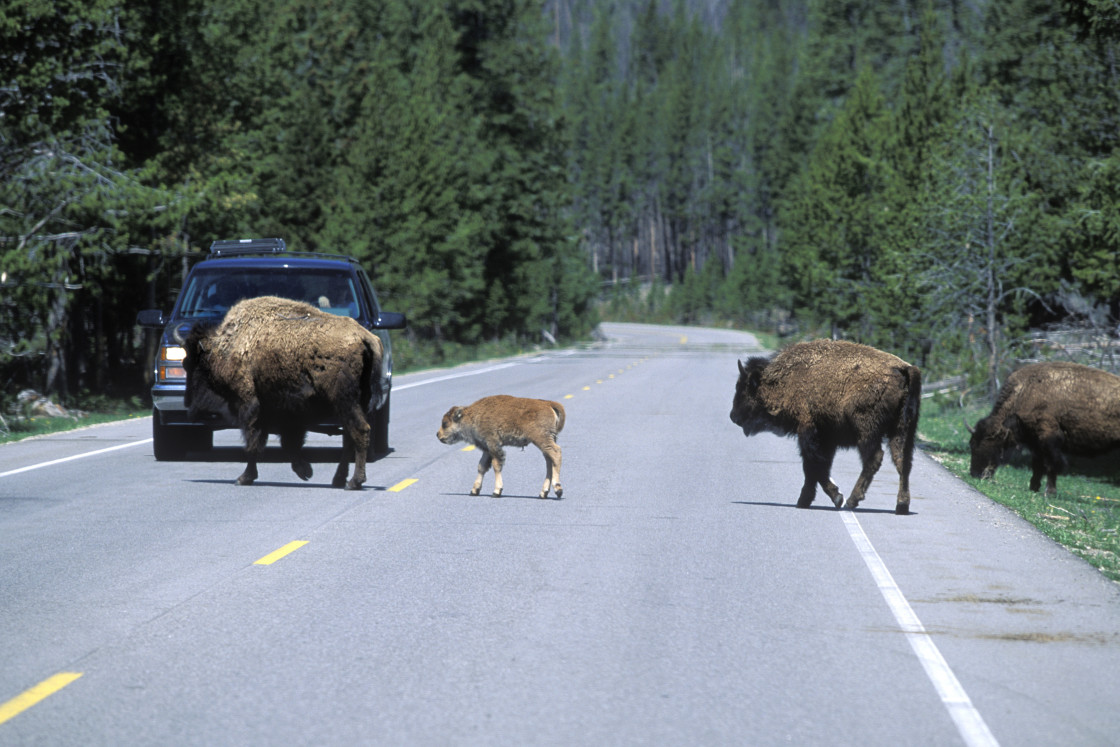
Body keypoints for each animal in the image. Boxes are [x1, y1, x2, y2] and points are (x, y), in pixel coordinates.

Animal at [184, 295, 385, 492]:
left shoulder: (250, 405)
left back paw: (354, 482)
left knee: (359, 431)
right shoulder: (284, 414)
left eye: (191, 363)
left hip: (345, 402)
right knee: (350, 438)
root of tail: (365, 337)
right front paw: (305, 471)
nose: (188, 402)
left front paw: (244, 478)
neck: (229, 346)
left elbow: (253, 442)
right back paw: (339, 479)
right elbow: (286, 443)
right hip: (355, 403)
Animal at [434, 394, 564, 499]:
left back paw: (558, 489)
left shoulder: (493, 445)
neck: (474, 415)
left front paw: (496, 491)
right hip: (547, 440)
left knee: (556, 453)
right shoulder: (486, 448)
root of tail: (549, 403)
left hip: (541, 439)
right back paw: (543, 493)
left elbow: (496, 466)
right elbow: (481, 467)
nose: (438, 434)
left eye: (445, 423)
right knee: (549, 462)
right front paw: (474, 490)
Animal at [730, 342, 922, 515]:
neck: (786, 379)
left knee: (874, 459)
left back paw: (852, 500)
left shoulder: (809, 432)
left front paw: (830, 498)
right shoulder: (827, 440)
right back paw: (901, 506)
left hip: (868, 433)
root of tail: (905, 369)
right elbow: (818, 467)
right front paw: (808, 500)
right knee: (903, 462)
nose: (733, 416)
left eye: (744, 387)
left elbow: (813, 466)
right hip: (902, 431)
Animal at [967, 362, 1120, 497]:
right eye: (972, 444)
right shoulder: (1036, 444)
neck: (1026, 390)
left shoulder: (1049, 440)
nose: (975, 474)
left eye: (991, 444)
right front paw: (1034, 488)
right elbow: (1038, 466)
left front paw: (1049, 492)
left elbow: (1051, 465)